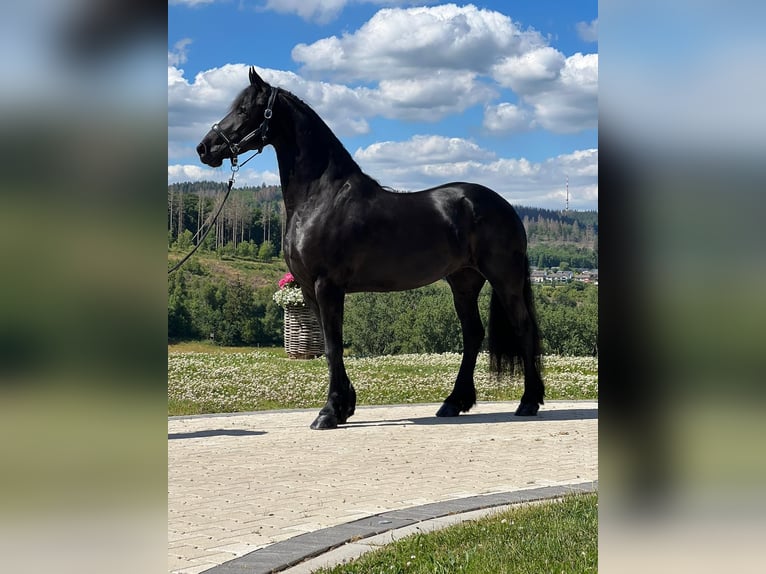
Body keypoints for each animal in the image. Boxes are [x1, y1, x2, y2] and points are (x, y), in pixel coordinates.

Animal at [197, 67, 544, 429]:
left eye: (245, 109)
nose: (204, 148)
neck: (320, 197)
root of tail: (506, 207)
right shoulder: (308, 289)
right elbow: (329, 345)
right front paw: (345, 405)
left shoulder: (327, 286)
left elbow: (333, 346)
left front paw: (329, 412)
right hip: (463, 281)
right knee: (473, 334)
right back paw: (453, 403)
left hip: (503, 278)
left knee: (523, 328)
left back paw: (528, 402)